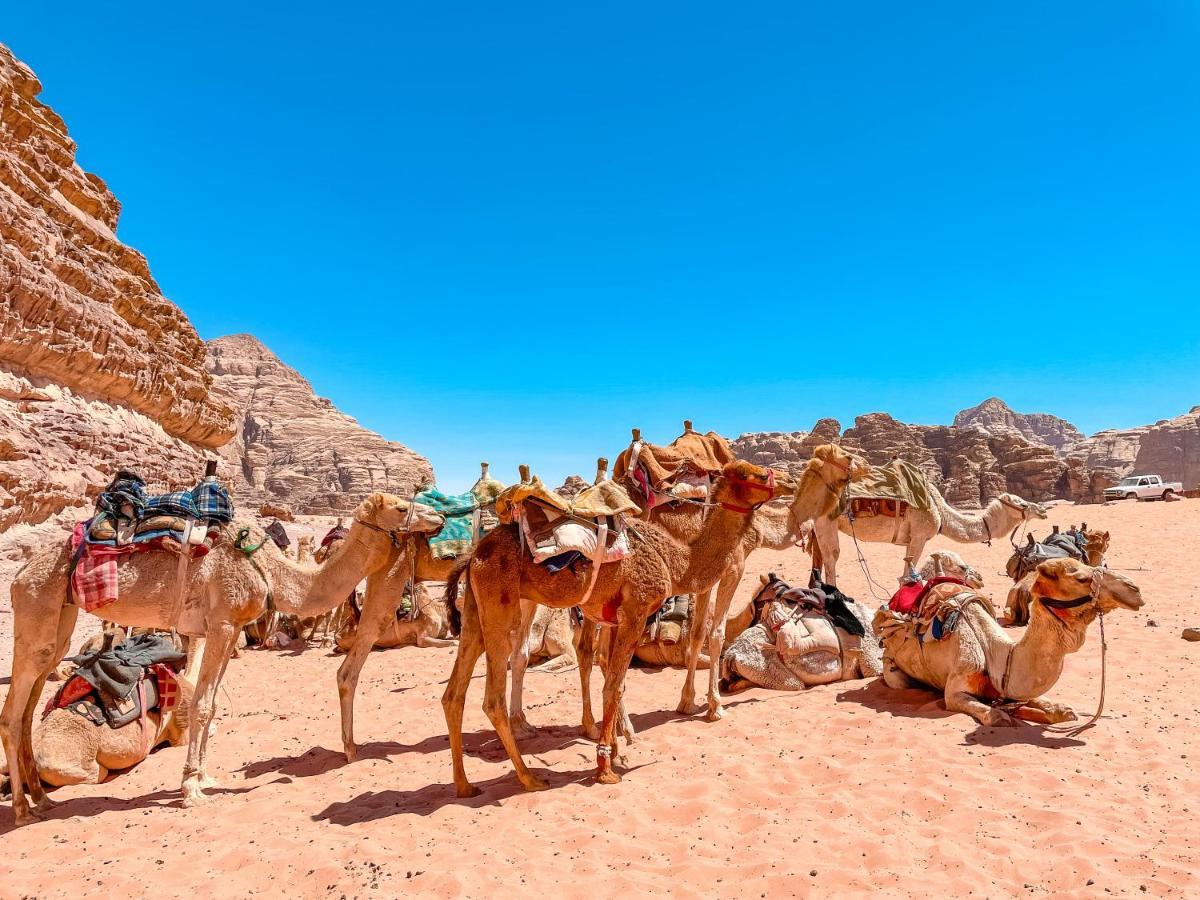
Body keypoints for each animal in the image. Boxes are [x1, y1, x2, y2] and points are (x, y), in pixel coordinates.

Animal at [1, 496, 441, 830]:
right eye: (401, 507)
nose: (437, 518)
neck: (272, 570)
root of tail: (19, 574)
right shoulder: (224, 623)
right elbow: (202, 704)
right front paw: (191, 791)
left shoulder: (226, 630)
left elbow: (209, 706)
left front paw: (203, 778)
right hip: (37, 605)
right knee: (12, 712)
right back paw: (22, 810)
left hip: (60, 618)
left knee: (31, 703)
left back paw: (42, 800)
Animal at [441, 458, 777, 796]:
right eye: (753, 475)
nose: (778, 480)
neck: (674, 561)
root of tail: (474, 555)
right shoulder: (636, 613)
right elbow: (612, 686)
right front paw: (605, 768)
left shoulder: (616, 619)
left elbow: (615, 681)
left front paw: (616, 751)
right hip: (500, 610)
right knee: (493, 697)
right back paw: (528, 778)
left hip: (474, 613)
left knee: (453, 694)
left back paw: (465, 785)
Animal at [811, 482, 1046, 588]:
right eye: (1023, 504)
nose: (1042, 511)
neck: (939, 510)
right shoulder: (920, 536)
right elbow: (909, 575)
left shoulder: (910, 539)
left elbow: (906, 573)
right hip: (826, 520)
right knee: (832, 558)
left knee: (820, 559)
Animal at [873, 561, 1142, 729]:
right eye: (1082, 578)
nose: (1134, 589)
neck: (997, 656)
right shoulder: (955, 690)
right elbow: (992, 714)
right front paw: (1003, 715)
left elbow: (1054, 708)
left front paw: (1056, 709)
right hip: (892, 670)